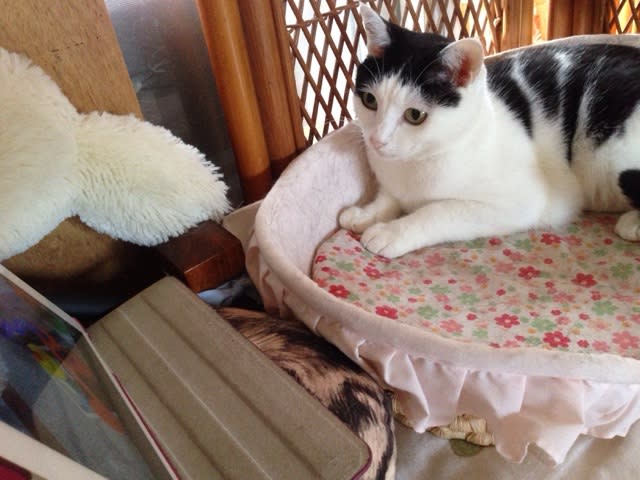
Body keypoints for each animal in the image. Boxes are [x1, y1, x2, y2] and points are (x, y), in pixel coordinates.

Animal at [339, 5, 640, 259]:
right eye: (370, 101)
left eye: (415, 115)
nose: (377, 140)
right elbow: (389, 197)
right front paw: (366, 214)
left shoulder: (521, 199)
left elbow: (438, 210)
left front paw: (392, 231)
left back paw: (631, 224)